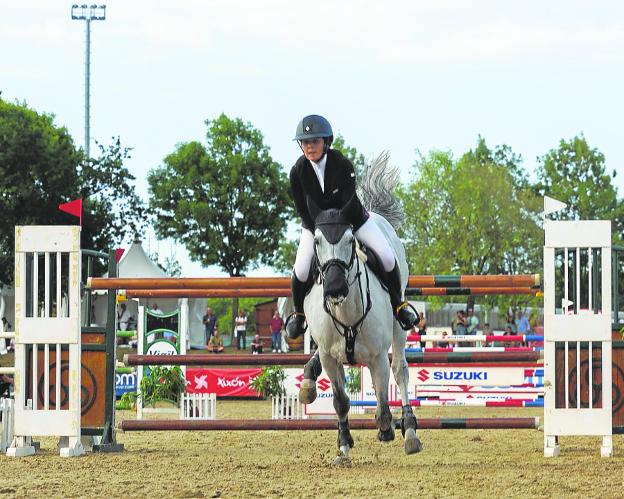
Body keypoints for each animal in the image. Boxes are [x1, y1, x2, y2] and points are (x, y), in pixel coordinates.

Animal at [298, 154, 424, 466]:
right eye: (316, 240)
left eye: (349, 239)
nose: (334, 288)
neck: (347, 312)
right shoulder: (330, 357)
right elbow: (341, 401)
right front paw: (343, 447)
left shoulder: (377, 356)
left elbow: (382, 401)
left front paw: (387, 429)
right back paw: (308, 380)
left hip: (398, 326)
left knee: (400, 370)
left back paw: (409, 431)